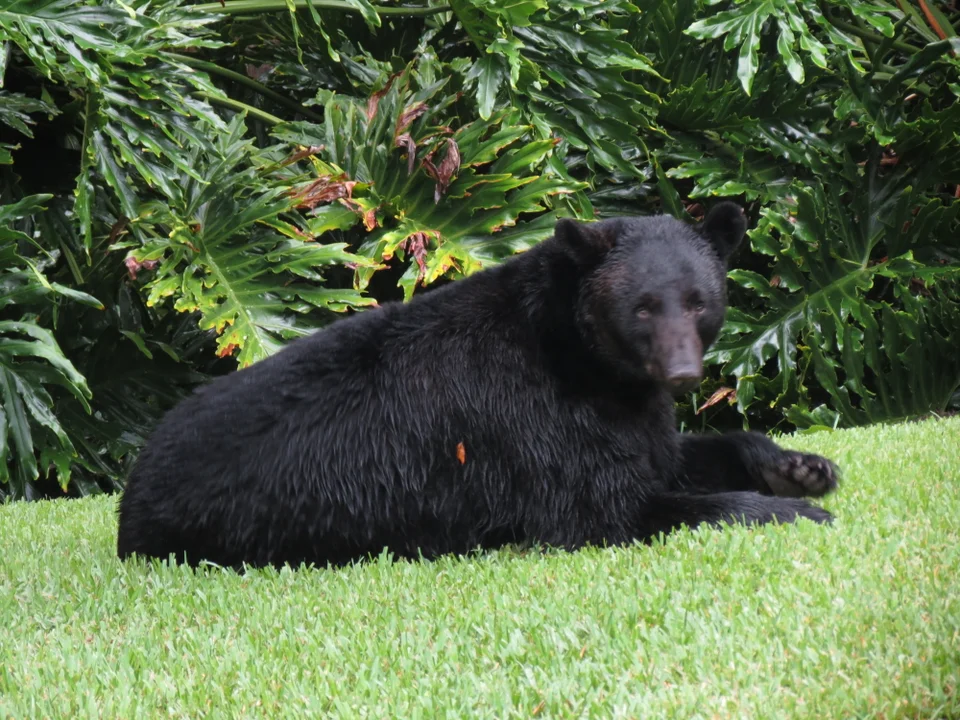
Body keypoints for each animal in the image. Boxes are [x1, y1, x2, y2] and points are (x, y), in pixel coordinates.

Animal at [118, 201, 840, 568]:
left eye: (698, 301)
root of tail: (130, 494)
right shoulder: (531, 420)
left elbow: (670, 453)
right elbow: (606, 510)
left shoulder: (626, 405)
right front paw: (787, 510)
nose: (682, 371)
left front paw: (799, 469)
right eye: (642, 307)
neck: (579, 354)